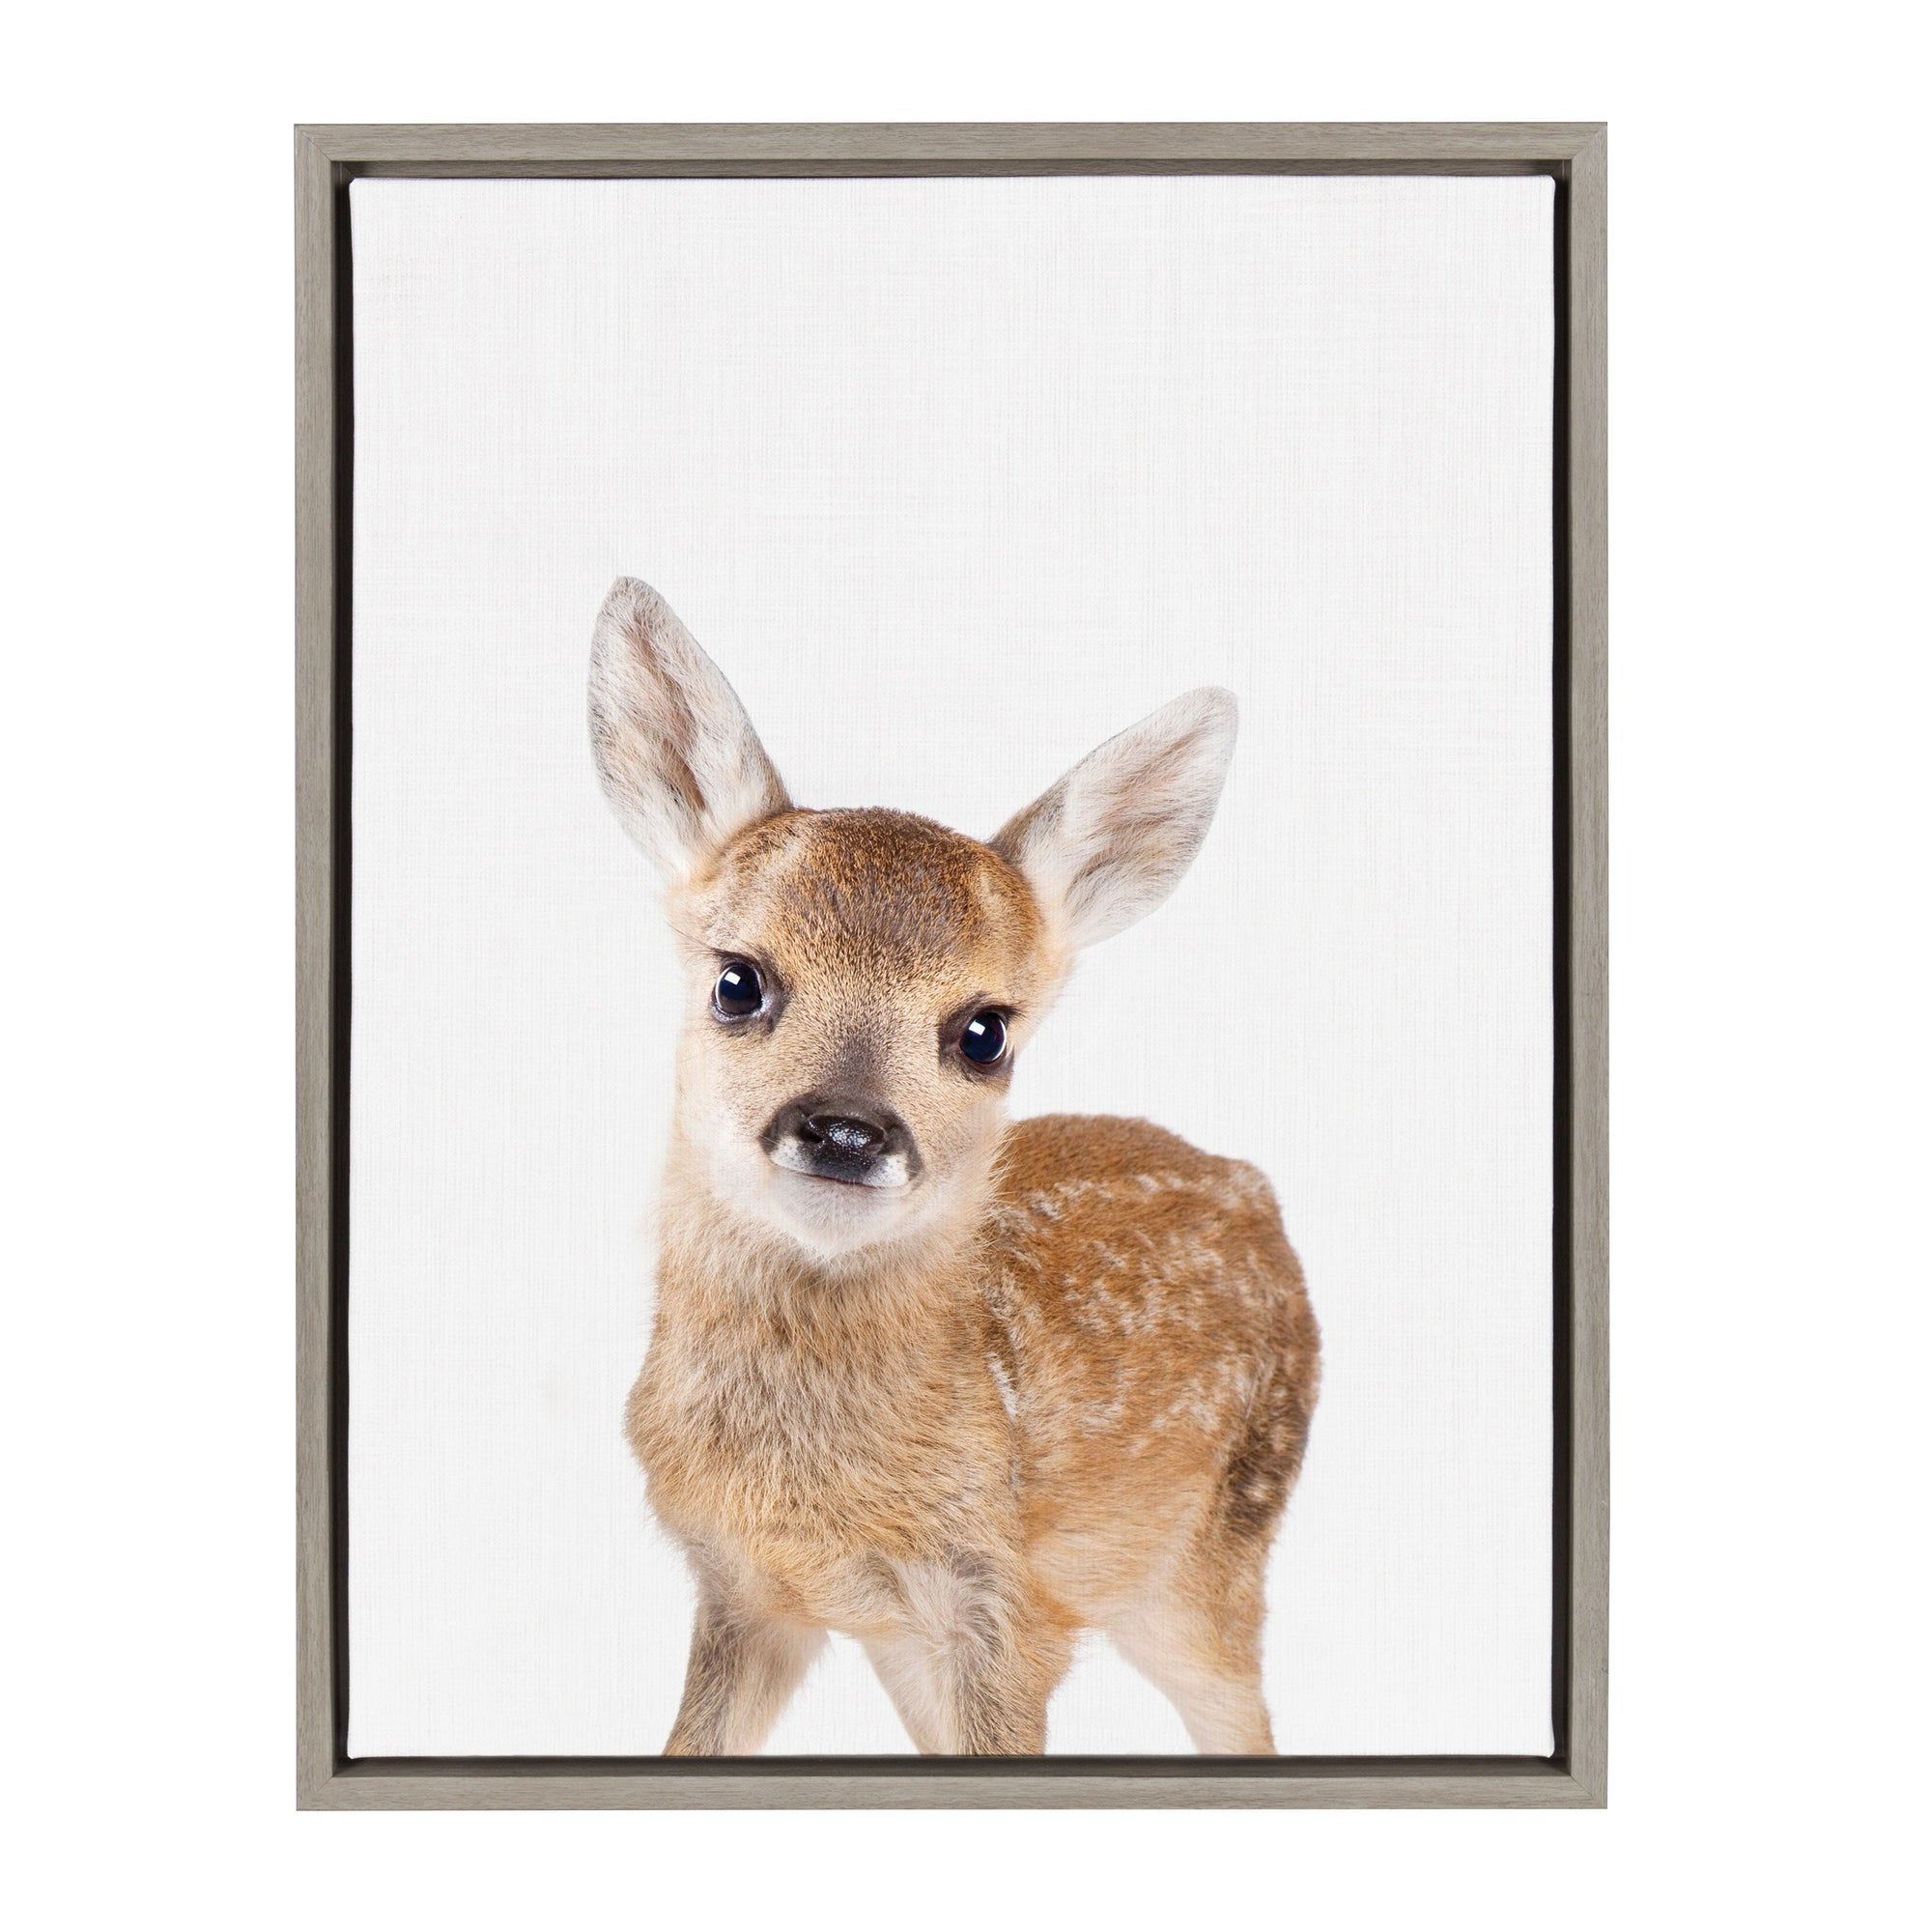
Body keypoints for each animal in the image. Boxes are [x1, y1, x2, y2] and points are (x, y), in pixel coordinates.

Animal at [589, 577, 1320, 1756]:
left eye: (985, 1031)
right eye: (737, 980)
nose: (846, 1128)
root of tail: (1256, 1188)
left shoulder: (1007, 1609)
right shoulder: (745, 1590)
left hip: (1215, 1551)